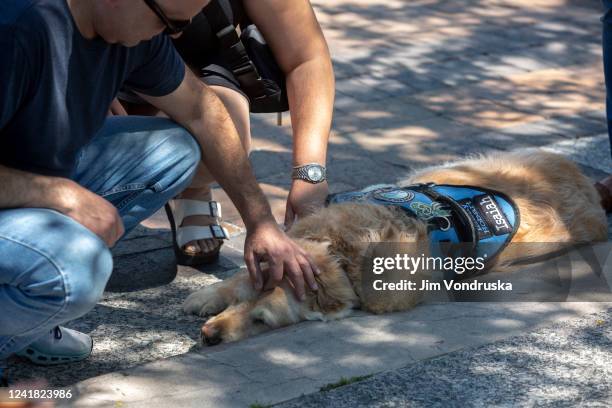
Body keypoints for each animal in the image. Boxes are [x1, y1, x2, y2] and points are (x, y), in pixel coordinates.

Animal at [183, 151, 608, 346]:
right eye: (240, 302)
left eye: (262, 322)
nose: (209, 336)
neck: (343, 257)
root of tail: (588, 184)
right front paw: (205, 295)